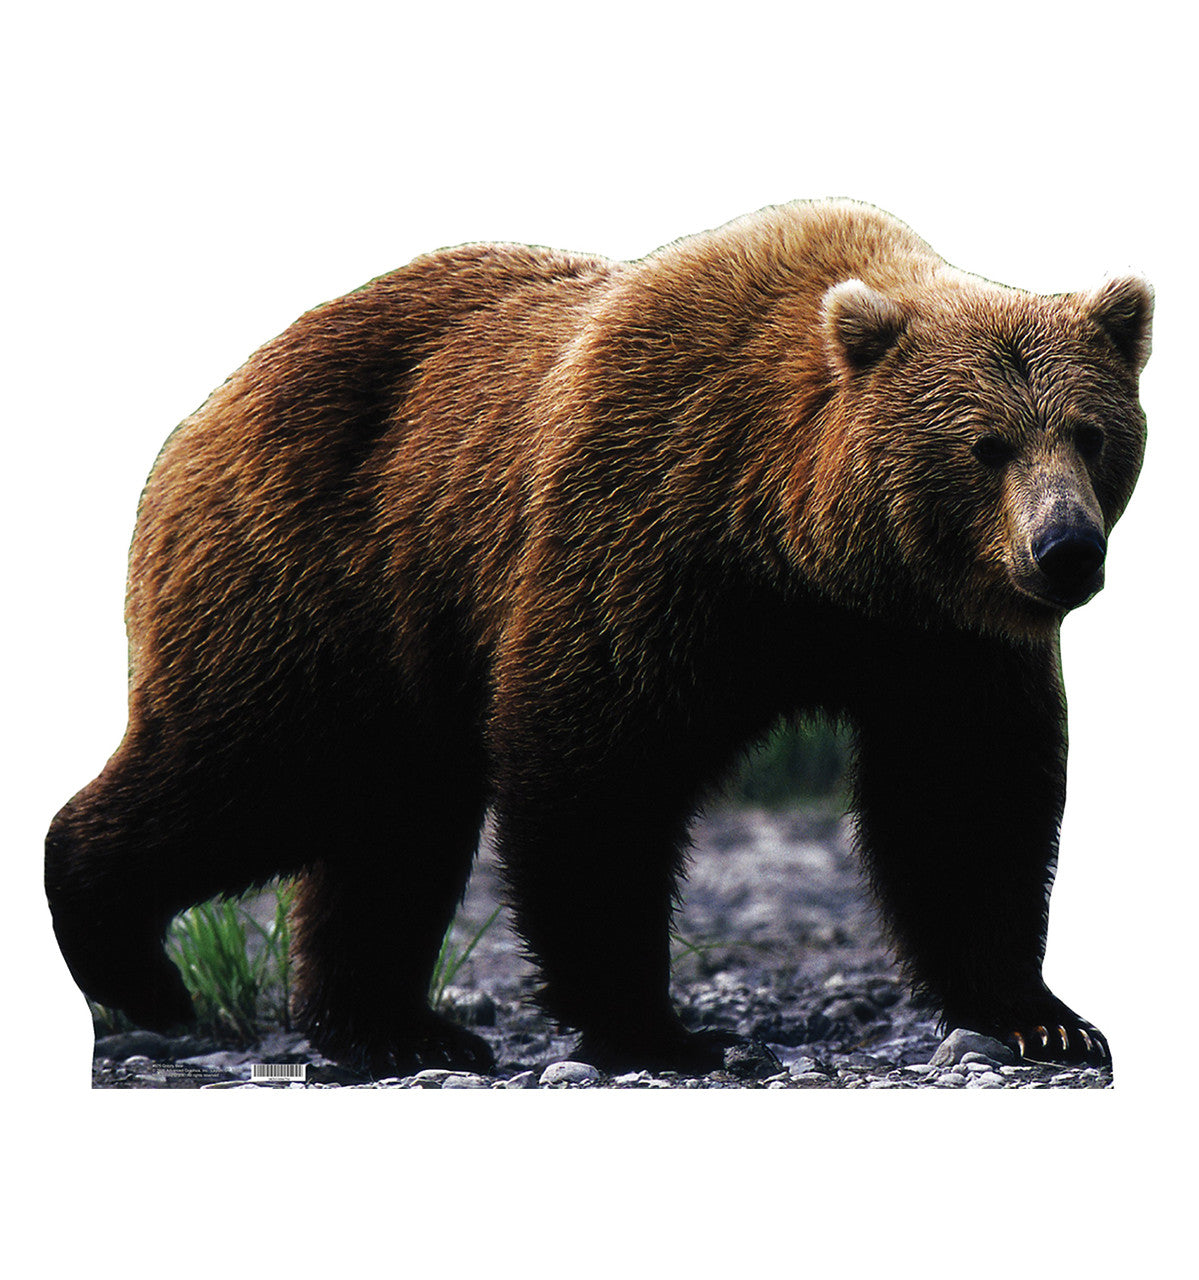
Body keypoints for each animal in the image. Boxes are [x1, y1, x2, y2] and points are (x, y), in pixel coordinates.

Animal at [45, 199, 1151, 1076]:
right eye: (984, 445)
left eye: (1088, 432)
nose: (1064, 549)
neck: (806, 553)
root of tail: (208, 405)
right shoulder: (647, 528)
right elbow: (597, 766)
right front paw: (658, 1027)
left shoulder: (938, 640)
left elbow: (965, 800)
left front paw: (1043, 1019)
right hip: (319, 568)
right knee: (254, 768)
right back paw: (134, 965)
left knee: (392, 817)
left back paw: (393, 1025)